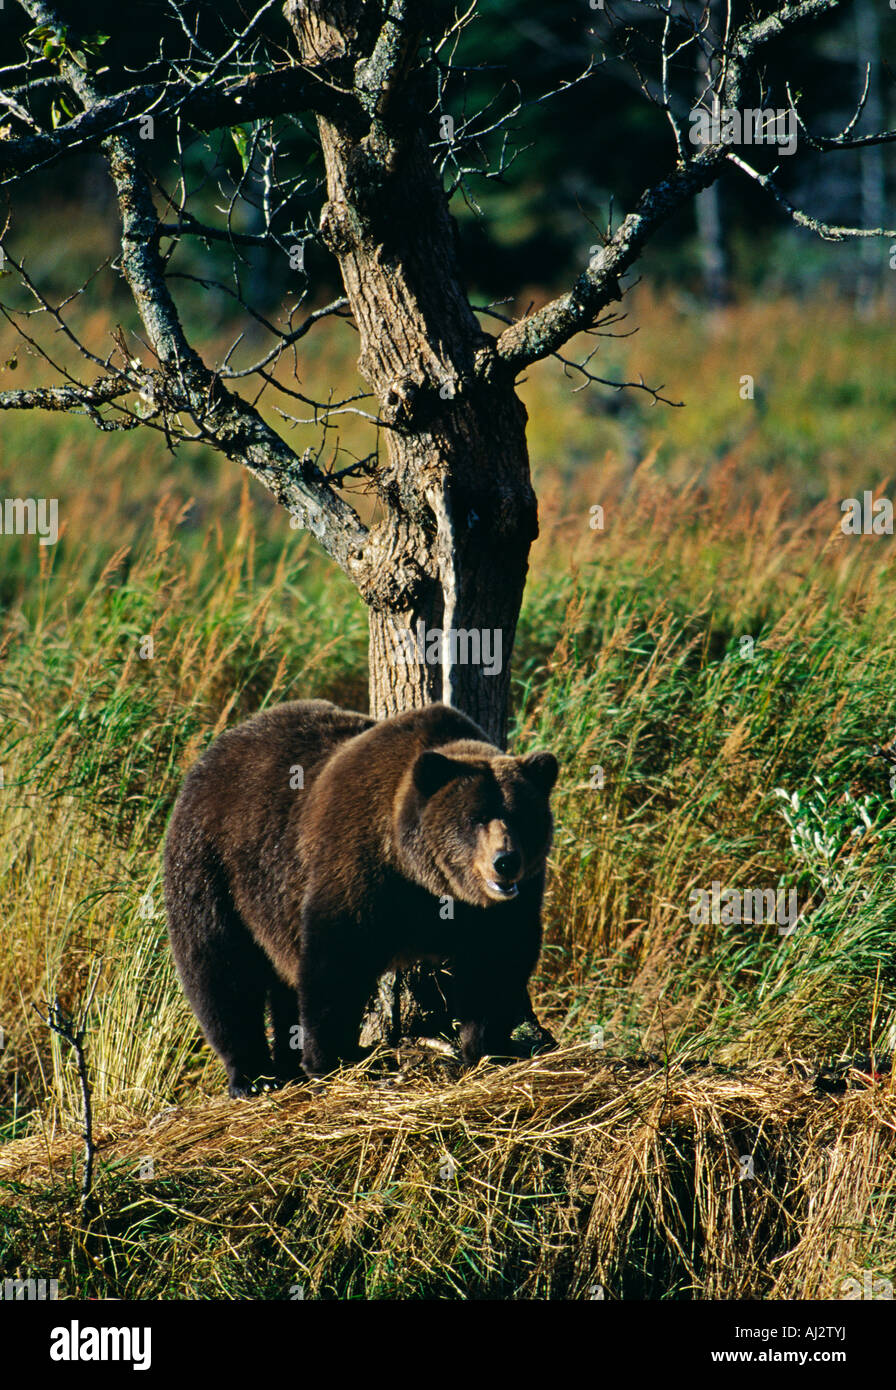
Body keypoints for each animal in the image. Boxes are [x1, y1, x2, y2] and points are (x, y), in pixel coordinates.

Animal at [159, 700, 552, 1089]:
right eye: (476, 817)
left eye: (521, 816)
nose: (505, 862)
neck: (423, 878)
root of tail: (214, 750)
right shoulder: (360, 865)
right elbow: (337, 960)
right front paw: (329, 1059)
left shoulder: (501, 907)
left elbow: (495, 961)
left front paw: (488, 1049)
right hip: (214, 862)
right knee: (220, 967)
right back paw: (253, 1075)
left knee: (281, 981)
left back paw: (286, 1065)